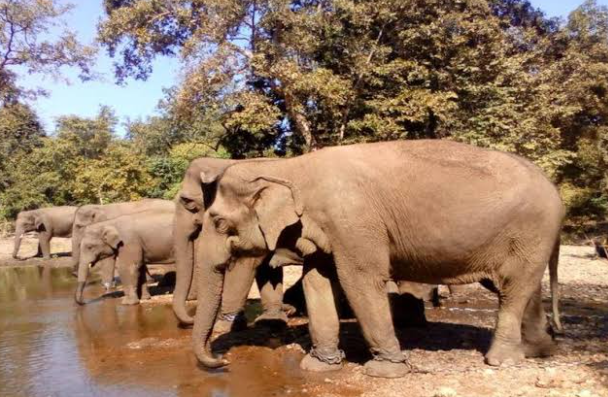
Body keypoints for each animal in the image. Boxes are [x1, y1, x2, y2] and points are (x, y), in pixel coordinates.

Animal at [171, 156, 294, 330]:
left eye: (188, 202)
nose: (191, 318)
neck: (221, 163)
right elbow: (265, 267)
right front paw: (271, 319)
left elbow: (245, 266)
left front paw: (224, 325)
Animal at [192, 139, 564, 378]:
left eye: (218, 222)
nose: (221, 362)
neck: (293, 167)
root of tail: (556, 191)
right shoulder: (327, 229)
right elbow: (317, 283)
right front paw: (321, 365)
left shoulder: (354, 222)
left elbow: (360, 280)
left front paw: (387, 370)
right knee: (523, 289)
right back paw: (538, 351)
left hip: (530, 233)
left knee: (513, 290)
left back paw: (502, 360)